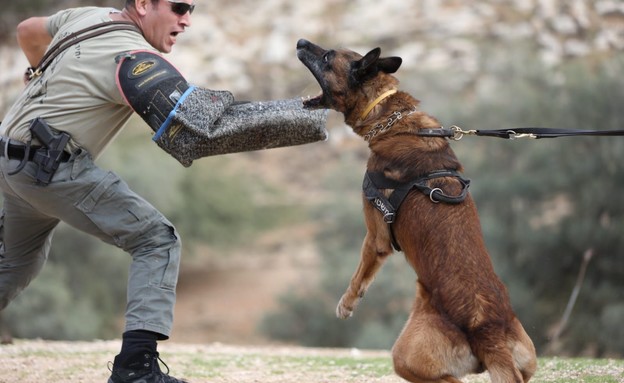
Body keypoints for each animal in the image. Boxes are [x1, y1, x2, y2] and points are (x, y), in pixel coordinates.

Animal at [298, 39, 536, 383]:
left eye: (328, 56)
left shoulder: (376, 238)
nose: (301, 42)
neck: (394, 121)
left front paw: (346, 304)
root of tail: (488, 334)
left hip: (404, 355)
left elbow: (359, 276)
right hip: (526, 358)